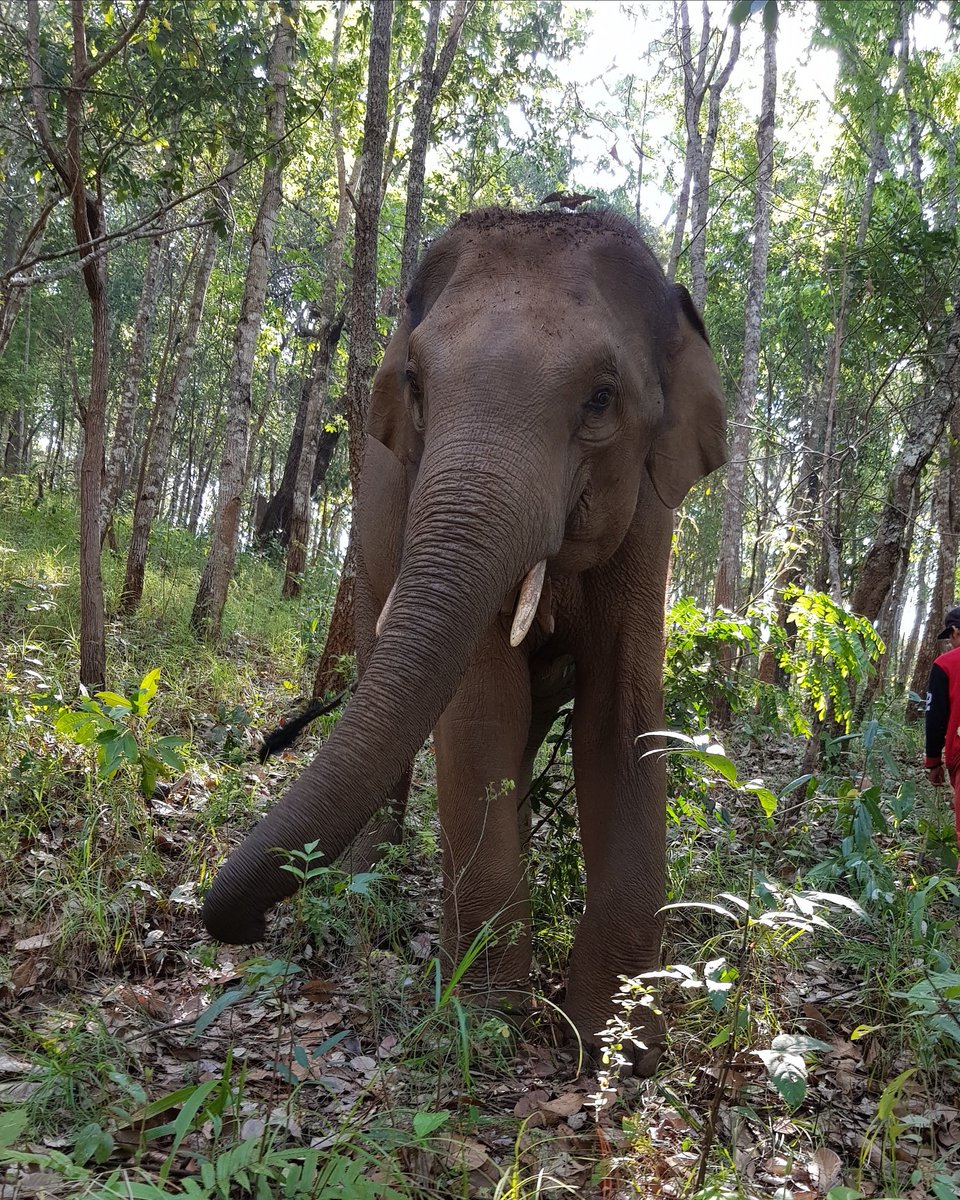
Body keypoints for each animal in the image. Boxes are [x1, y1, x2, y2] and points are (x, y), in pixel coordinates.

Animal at [202, 208, 726, 1071]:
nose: (248, 929)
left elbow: (623, 720)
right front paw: (487, 1017)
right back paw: (368, 896)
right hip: (373, 541)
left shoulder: (650, 523)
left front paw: (613, 1048)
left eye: (602, 399)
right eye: (417, 385)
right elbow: (481, 706)